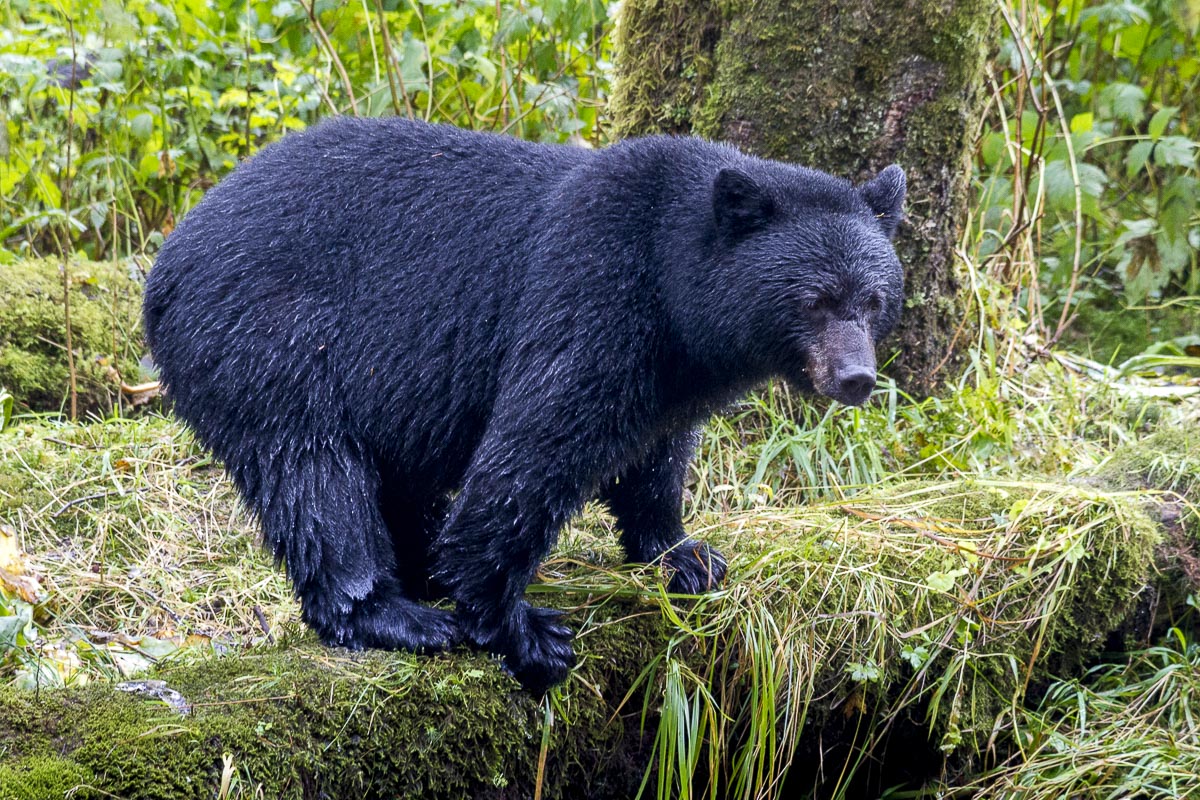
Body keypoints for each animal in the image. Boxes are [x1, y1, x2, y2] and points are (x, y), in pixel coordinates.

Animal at [142, 117, 905, 694]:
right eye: (815, 299)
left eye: (874, 298)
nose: (857, 378)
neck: (671, 276)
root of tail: (165, 264)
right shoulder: (594, 294)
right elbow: (536, 448)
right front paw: (522, 631)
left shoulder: (673, 369)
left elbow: (656, 457)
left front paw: (684, 555)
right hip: (270, 340)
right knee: (314, 474)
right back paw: (394, 614)